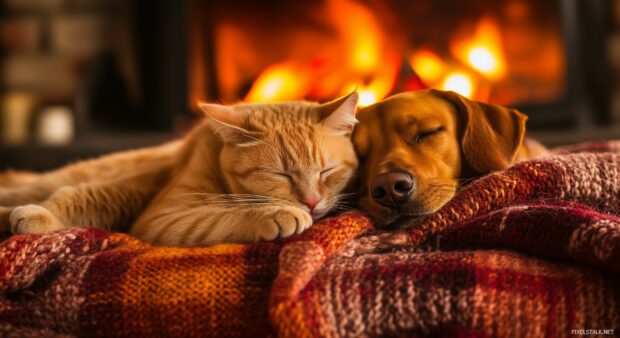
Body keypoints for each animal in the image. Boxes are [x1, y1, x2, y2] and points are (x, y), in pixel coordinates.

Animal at [0, 93, 358, 246]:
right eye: (280, 175)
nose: (311, 202)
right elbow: (224, 215)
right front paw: (276, 213)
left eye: (326, 172)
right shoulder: (165, 216)